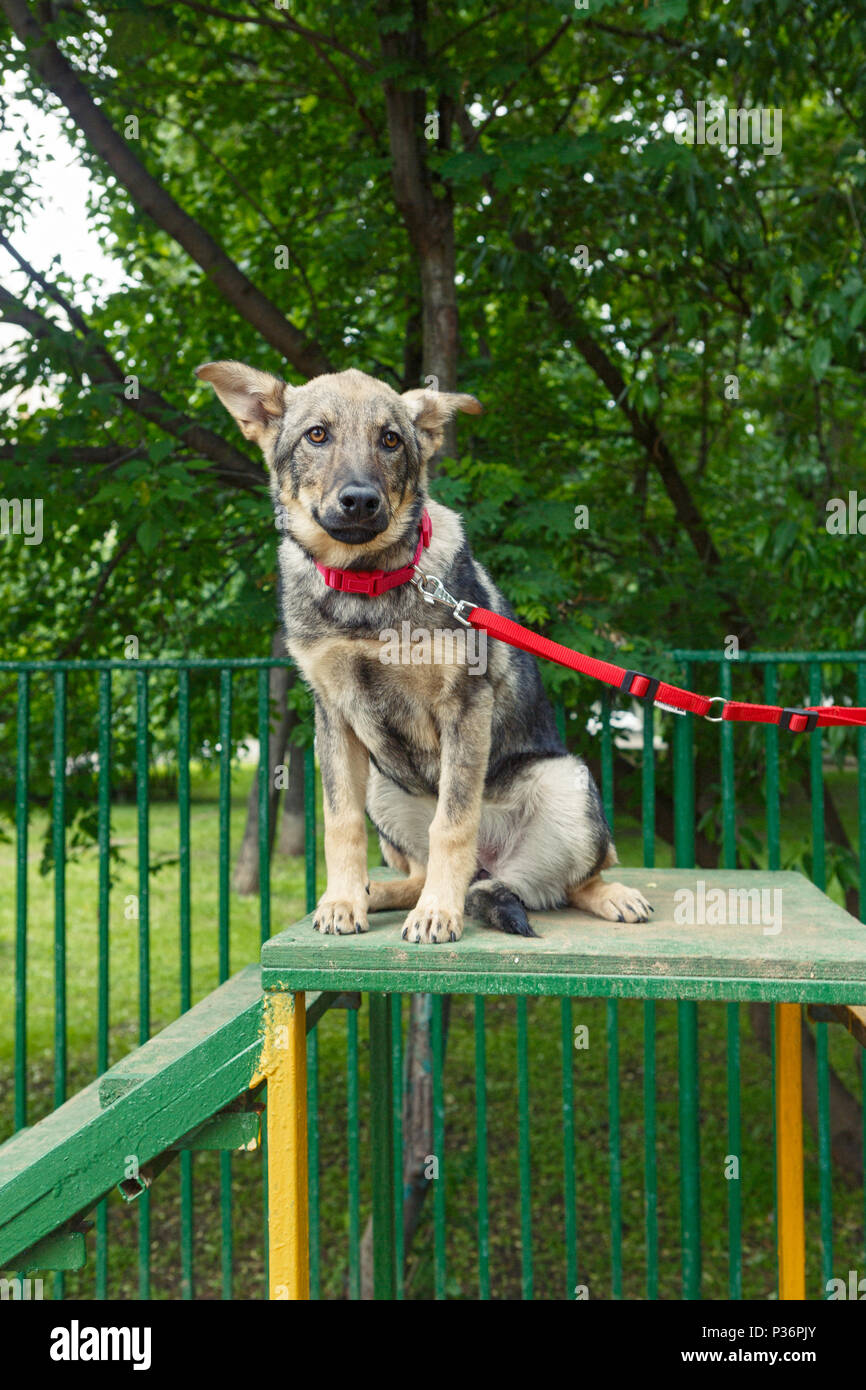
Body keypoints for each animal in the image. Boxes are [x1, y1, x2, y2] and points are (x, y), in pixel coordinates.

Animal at [194, 358, 650, 945]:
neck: (365, 586)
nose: (361, 501)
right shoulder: (333, 717)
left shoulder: (465, 707)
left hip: (567, 780)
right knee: (416, 872)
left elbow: (452, 823)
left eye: (390, 440)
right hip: (381, 786)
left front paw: (438, 913)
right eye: (317, 435)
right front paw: (343, 901)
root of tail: (494, 869)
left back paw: (610, 895)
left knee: (573, 879)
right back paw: (378, 893)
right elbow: (340, 823)